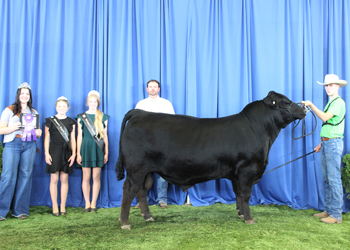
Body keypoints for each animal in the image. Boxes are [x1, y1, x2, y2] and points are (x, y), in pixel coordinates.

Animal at [115, 91, 306, 229]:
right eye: (286, 102)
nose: (304, 110)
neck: (259, 129)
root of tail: (140, 113)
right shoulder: (248, 169)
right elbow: (245, 195)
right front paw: (249, 218)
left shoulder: (236, 173)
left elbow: (238, 194)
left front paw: (240, 214)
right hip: (136, 169)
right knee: (128, 190)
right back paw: (125, 222)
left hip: (145, 171)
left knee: (141, 191)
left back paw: (148, 217)